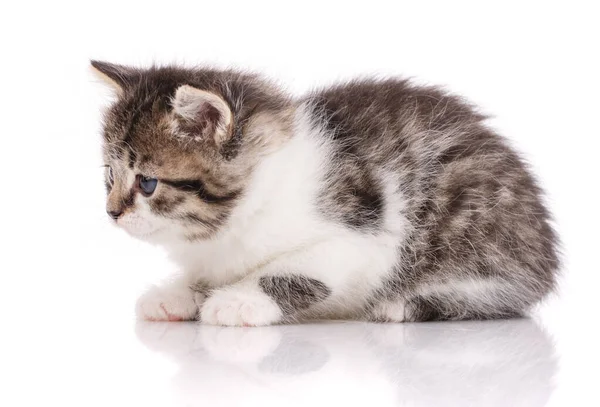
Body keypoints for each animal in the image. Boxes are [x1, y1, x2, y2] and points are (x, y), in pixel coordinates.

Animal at [92, 61, 556, 328]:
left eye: (147, 183)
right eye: (109, 175)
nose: (111, 213)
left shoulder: (359, 236)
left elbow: (296, 269)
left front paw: (239, 300)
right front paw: (178, 293)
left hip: (476, 228)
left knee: (499, 294)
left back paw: (401, 305)